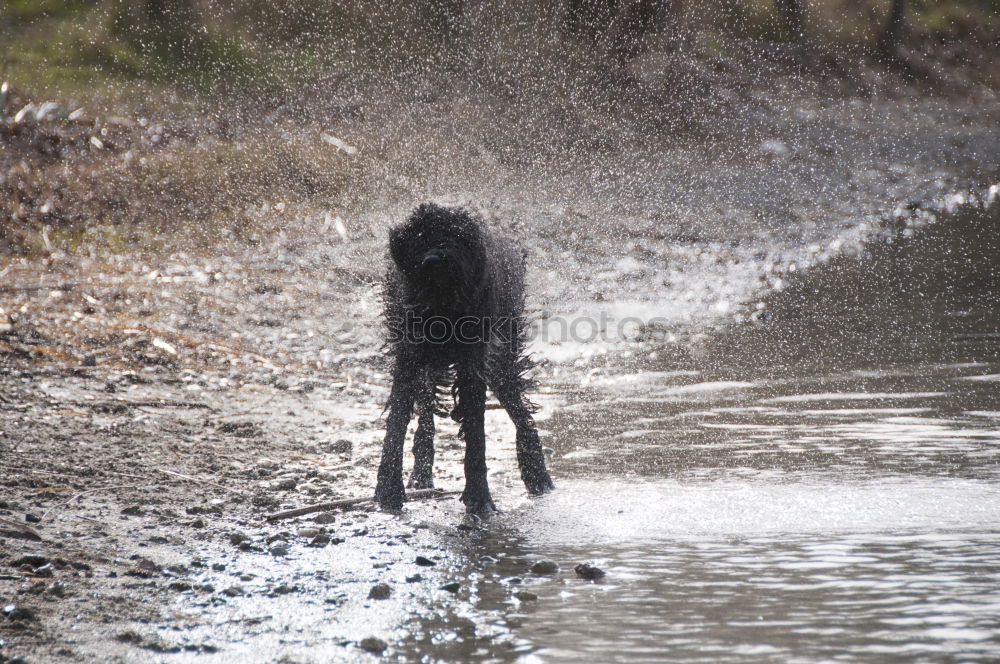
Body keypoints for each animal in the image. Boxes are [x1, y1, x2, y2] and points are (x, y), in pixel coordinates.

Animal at [376, 202, 556, 512]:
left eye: (456, 238)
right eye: (421, 237)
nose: (434, 260)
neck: (441, 306)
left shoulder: (474, 363)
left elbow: (475, 428)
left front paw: (479, 498)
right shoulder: (409, 356)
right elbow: (397, 421)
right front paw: (388, 491)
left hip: (501, 358)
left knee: (520, 411)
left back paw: (537, 474)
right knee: (426, 415)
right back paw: (421, 472)